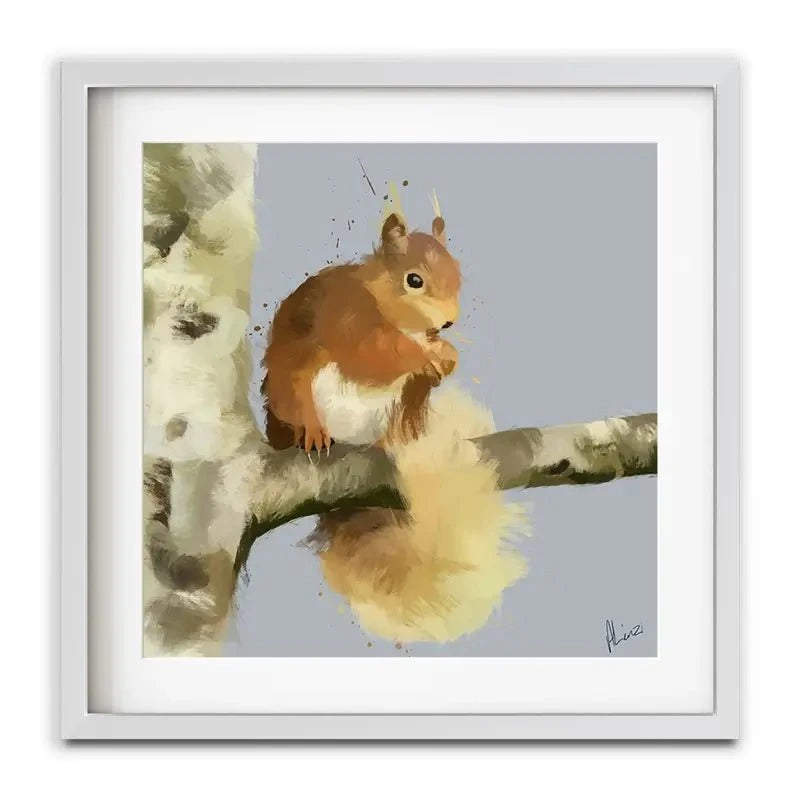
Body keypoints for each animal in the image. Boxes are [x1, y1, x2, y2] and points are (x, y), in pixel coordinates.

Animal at [261, 212, 461, 452]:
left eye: (457, 274)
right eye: (414, 280)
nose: (449, 321)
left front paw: (449, 355)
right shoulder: (349, 321)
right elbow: (370, 356)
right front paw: (424, 356)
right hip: (293, 391)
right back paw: (313, 433)